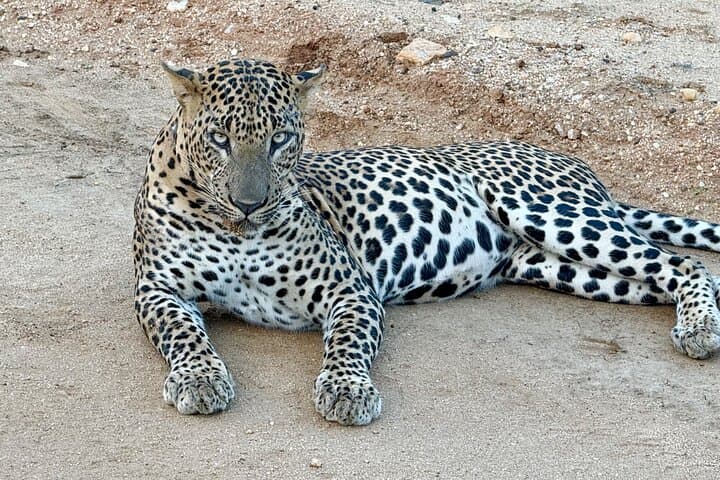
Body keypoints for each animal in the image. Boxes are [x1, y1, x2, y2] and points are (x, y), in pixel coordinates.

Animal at [133, 58, 720, 426]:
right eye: (219, 139)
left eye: (280, 139)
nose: (250, 203)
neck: (237, 231)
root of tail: (578, 166)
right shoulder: (156, 290)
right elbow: (183, 333)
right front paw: (200, 381)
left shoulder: (349, 290)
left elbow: (348, 344)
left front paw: (348, 391)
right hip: (561, 266)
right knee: (668, 276)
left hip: (551, 213)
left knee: (688, 266)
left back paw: (700, 331)